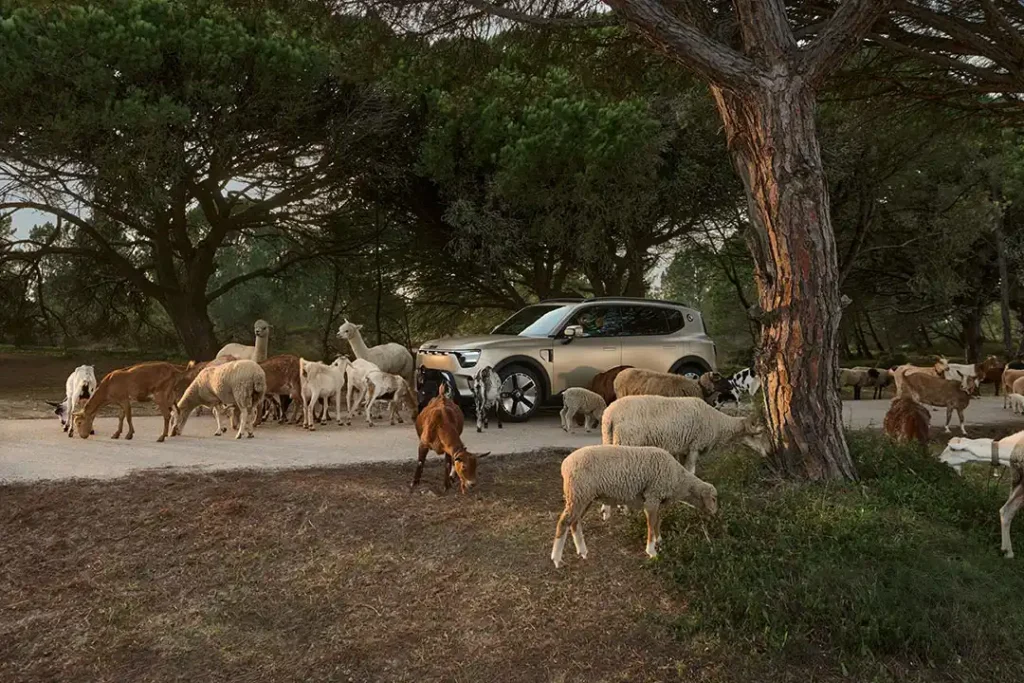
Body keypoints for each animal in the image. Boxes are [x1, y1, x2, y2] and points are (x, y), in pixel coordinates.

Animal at [550, 445, 717, 568]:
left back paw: (582, 551)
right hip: (578, 493)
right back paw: (557, 559)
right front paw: (651, 551)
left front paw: (659, 541)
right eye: (714, 499)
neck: (679, 481)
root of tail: (565, 464)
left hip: (584, 496)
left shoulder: (657, 500)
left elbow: (657, 522)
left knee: (574, 522)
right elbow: (651, 525)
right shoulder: (652, 497)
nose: (715, 514)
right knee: (564, 522)